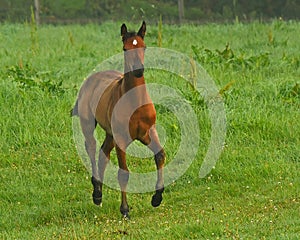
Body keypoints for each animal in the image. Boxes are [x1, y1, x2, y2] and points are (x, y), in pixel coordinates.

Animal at [72, 21, 166, 218]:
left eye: (144, 46)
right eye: (125, 48)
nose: (138, 70)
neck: (134, 102)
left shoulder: (147, 132)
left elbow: (160, 155)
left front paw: (157, 198)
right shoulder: (122, 138)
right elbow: (123, 173)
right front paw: (125, 210)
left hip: (110, 133)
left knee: (103, 153)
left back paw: (99, 193)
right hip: (89, 124)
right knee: (91, 148)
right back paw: (97, 193)